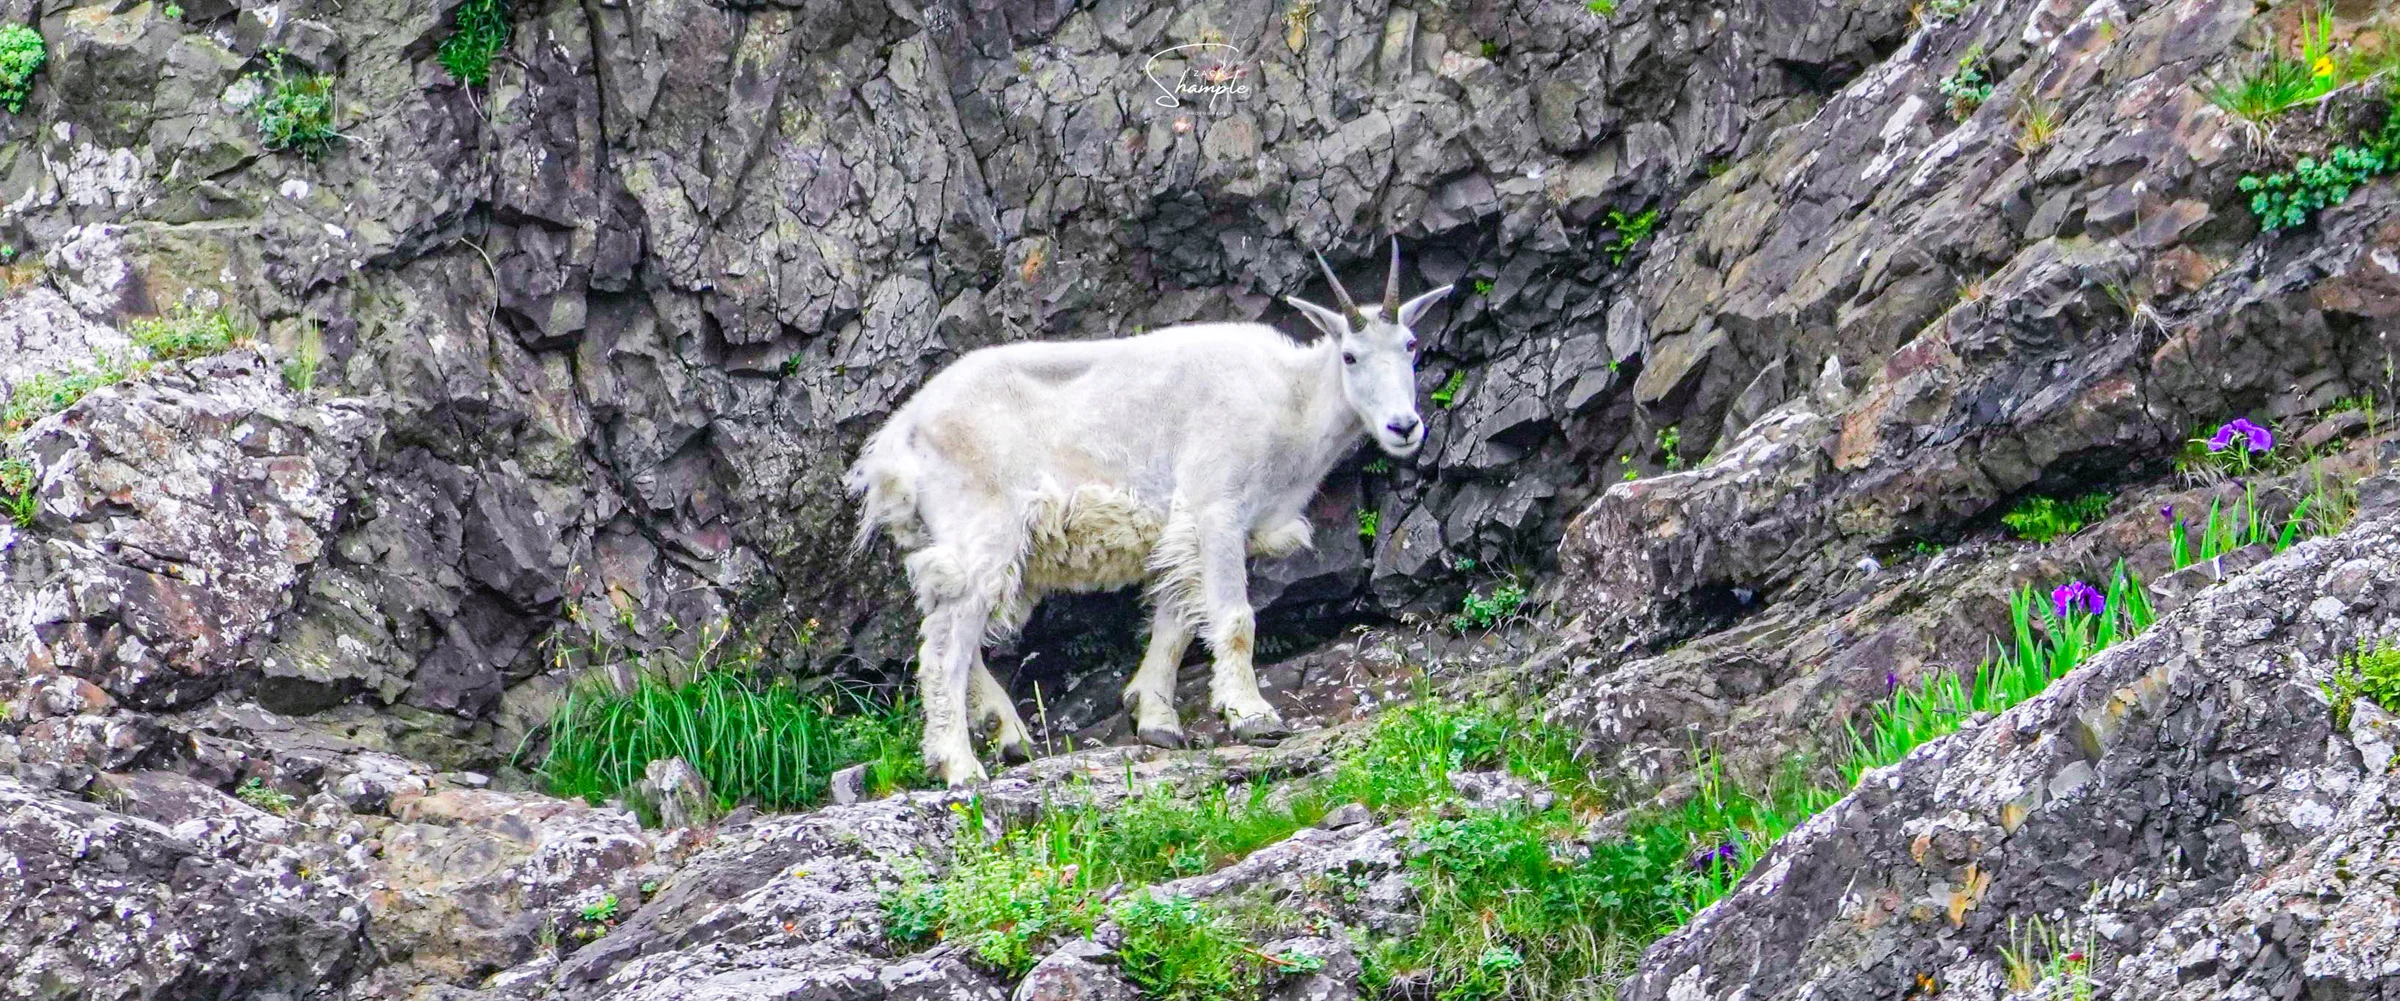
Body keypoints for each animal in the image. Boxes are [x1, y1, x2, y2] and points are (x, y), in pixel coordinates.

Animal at [847, 242, 1452, 785]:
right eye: (1350, 355)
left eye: (1411, 345)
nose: (1404, 427)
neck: (1292, 402)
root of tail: (900, 437)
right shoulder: (1216, 506)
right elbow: (1234, 619)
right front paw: (1253, 716)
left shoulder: (1189, 528)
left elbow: (1177, 618)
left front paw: (1156, 718)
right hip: (986, 528)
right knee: (947, 639)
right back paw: (960, 765)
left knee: (945, 619)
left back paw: (1008, 734)